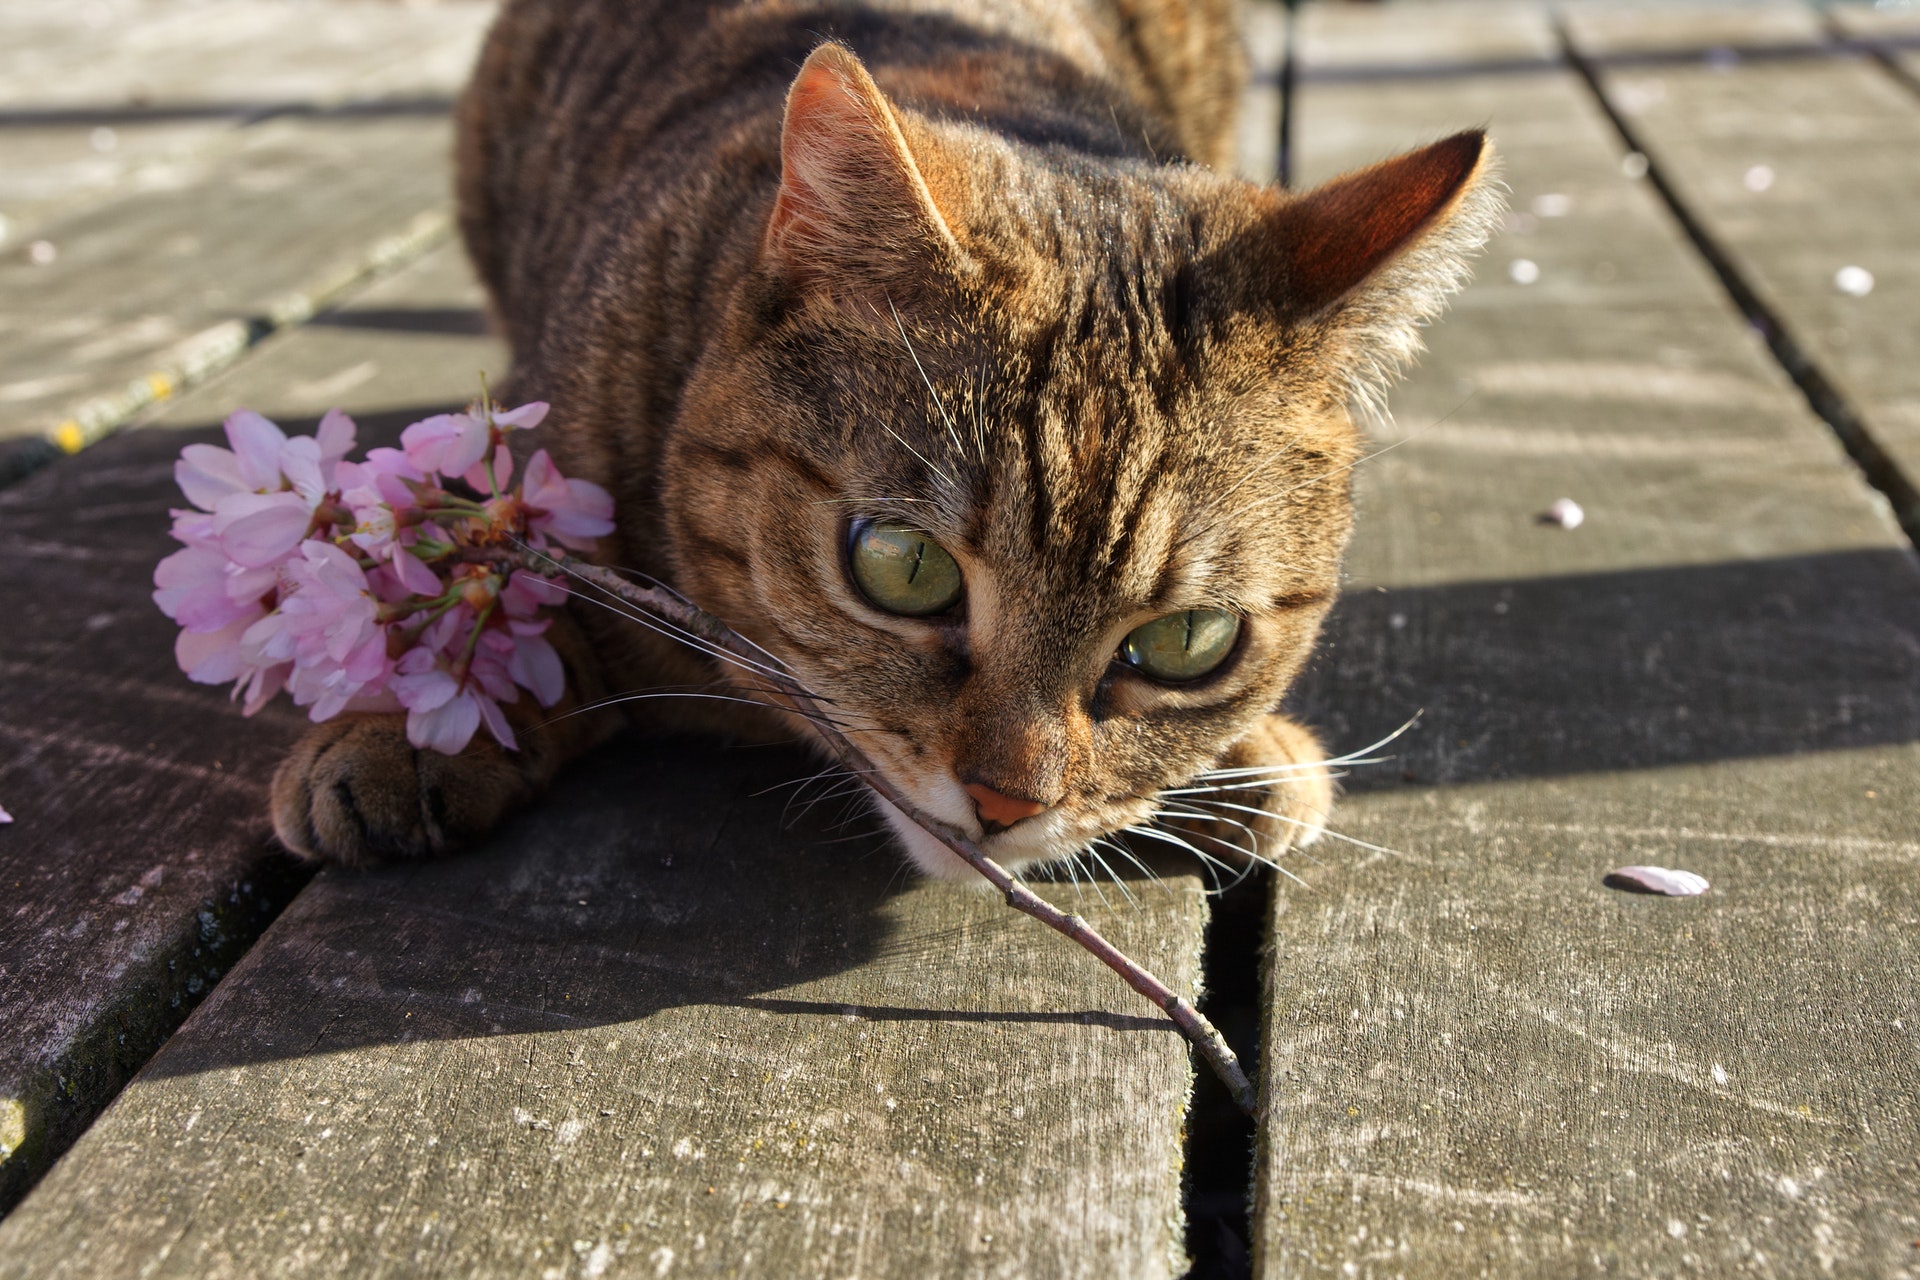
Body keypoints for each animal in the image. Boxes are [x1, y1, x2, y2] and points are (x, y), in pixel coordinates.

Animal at [270, 0, 1497, 875]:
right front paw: (418, 719)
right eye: (903, 568)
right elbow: (515, 593)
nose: (1008, 801)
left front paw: (1243, 750)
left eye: (1189, 640)